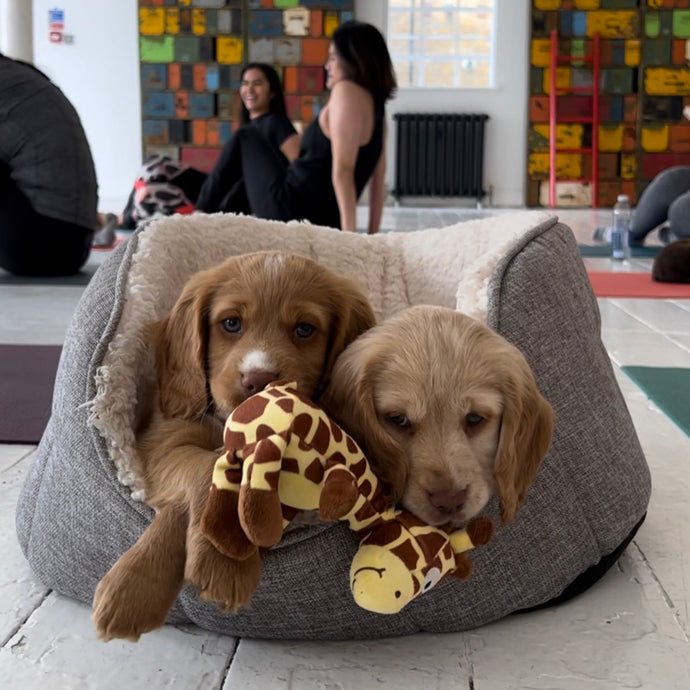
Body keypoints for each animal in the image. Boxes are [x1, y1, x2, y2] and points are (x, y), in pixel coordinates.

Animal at [91, 249, 374, 640]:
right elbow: (203, 469)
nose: (258, 379)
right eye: (231, 324)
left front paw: (222, 559)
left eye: (305, 329)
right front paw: (135, 588)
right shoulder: (165, 442)